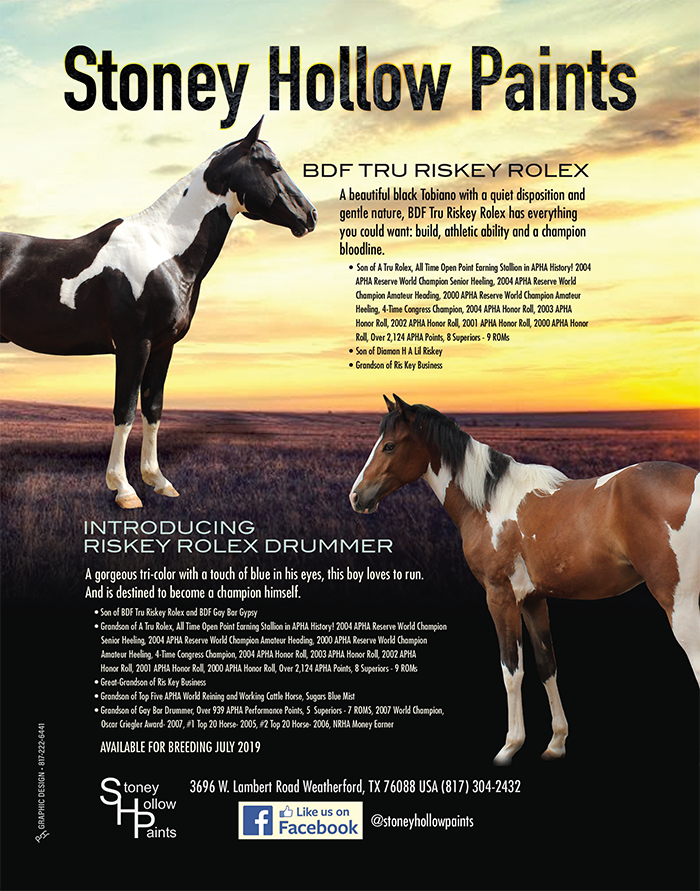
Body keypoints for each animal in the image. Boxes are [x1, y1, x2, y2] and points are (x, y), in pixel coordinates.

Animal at [0, 117, 316, 509]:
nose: (310, 215)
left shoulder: (164, 347)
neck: (164, 251)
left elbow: (154, 408)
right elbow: (125, 410)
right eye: (272, 166)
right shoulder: (134, 345)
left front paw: (158, 480)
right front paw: (123, 488)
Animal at [349, 395, 700, 764]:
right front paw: (556, 742)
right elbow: (547, 664)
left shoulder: (500, 597)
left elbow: (511, 670)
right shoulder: (533, 599)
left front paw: (510, 745)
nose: (356, 496)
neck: (488, 502)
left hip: (678, 602)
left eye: (389, 445)